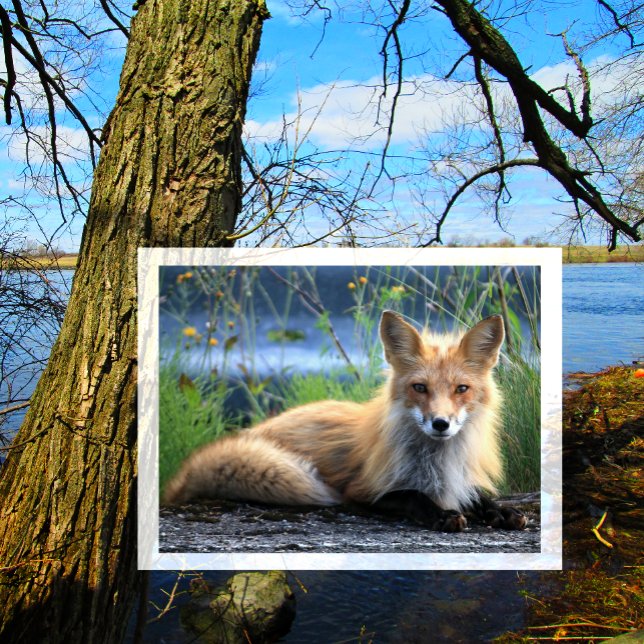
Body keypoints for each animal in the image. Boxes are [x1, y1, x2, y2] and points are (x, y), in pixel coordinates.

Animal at [163, 311, 528, 532]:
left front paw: (500, 510)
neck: (438, 462)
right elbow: (414, 496)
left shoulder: (461, 478)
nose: (440, 424)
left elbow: (477, 496)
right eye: (420, 388)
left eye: (461, 389)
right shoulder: (363, 491)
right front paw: (442, 513)